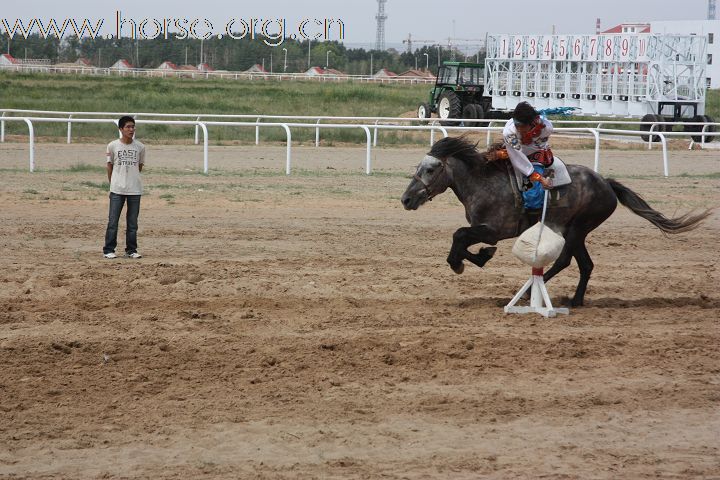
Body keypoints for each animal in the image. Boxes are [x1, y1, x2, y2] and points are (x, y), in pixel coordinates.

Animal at [402, 137, 712, 306]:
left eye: (430, 169)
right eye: (418, 167)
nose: (406, 199)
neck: (482, 182)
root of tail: (606, 183)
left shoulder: (494, 230)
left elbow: (459, 235)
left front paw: (466, 261)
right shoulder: (487, 230)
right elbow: (462, 238)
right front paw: (476, 257)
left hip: (577, 227)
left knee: (565, 261)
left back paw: (530, 293)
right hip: (577, 231)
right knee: (585, 264)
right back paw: (575, 299)